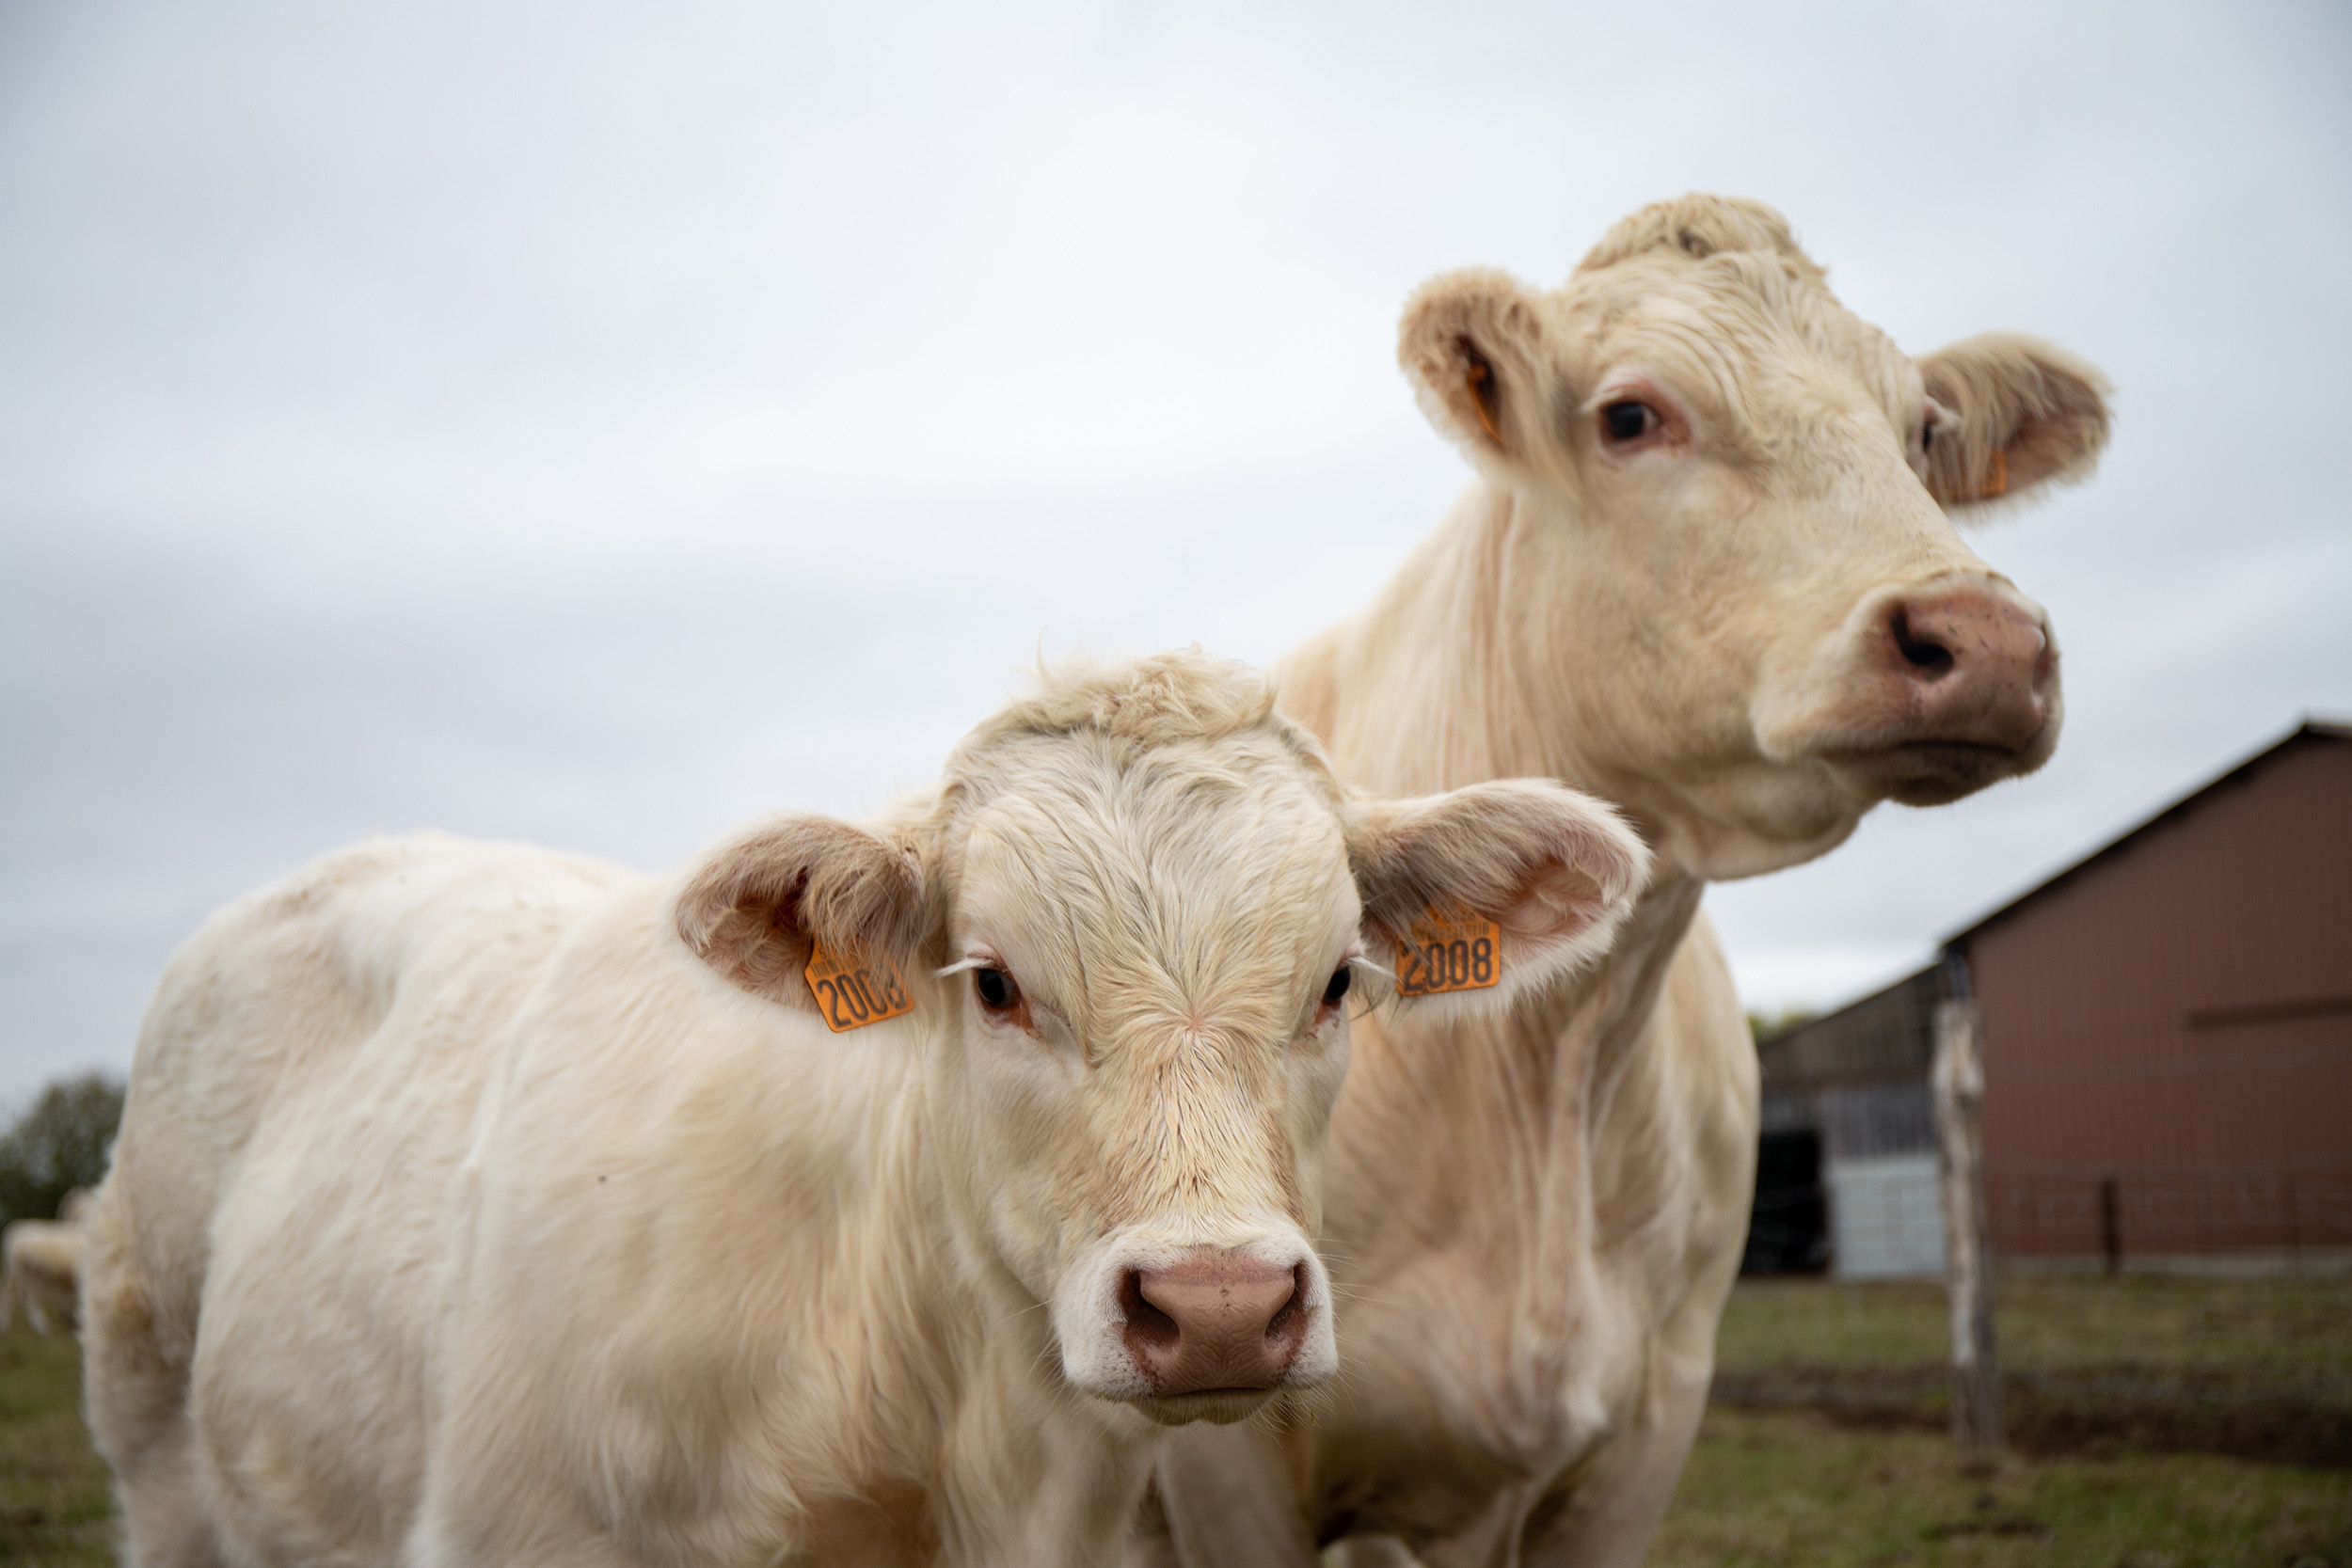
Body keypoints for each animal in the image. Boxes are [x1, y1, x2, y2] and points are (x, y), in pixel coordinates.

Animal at [1147, 195, 2113, 1566]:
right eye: (1629, 415)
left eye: (1925, 430)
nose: (1984, 642)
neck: (1546, 1061)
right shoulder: (1226, 1460)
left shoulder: (1645, 1428)